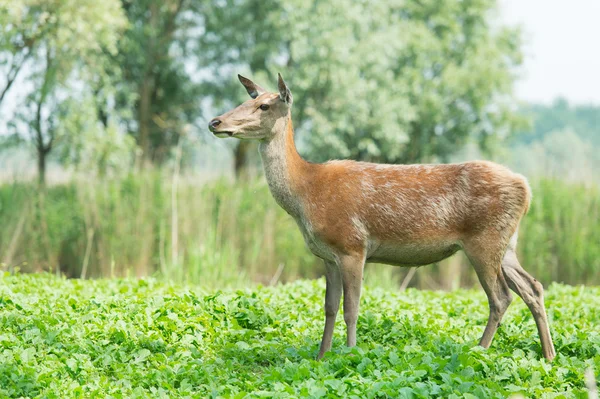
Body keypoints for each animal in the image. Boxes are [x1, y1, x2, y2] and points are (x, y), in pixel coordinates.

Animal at [209, 72, 556, 362]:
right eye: (245, 100)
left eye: (264, 105)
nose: (215, 121)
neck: (305, 194)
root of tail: (526, 187)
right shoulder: (326, 255)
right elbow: (329, 307)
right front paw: (321, 357)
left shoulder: (352, 245)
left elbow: (351, 308)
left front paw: (350, 354)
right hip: (507, 243)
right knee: (533, 287)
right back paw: (549, 355)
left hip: (484, 240)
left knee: (501, 296)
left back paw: (478, 351)